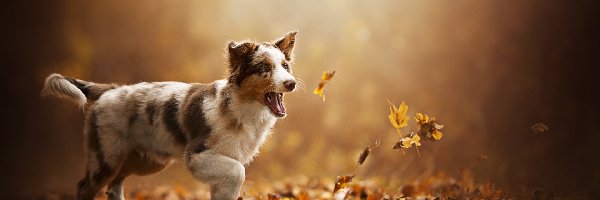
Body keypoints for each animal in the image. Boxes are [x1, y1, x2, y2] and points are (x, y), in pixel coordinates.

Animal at [41, 31, 298, 200]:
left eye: (285, 66)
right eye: (264, 68)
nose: (292, 83)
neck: (240, 108)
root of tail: (111, 90)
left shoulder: (221, 165)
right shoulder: (197, 155)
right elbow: (238, 171)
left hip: (145, 161)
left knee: (114, 187)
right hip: (106, 155)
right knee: (85, 187)